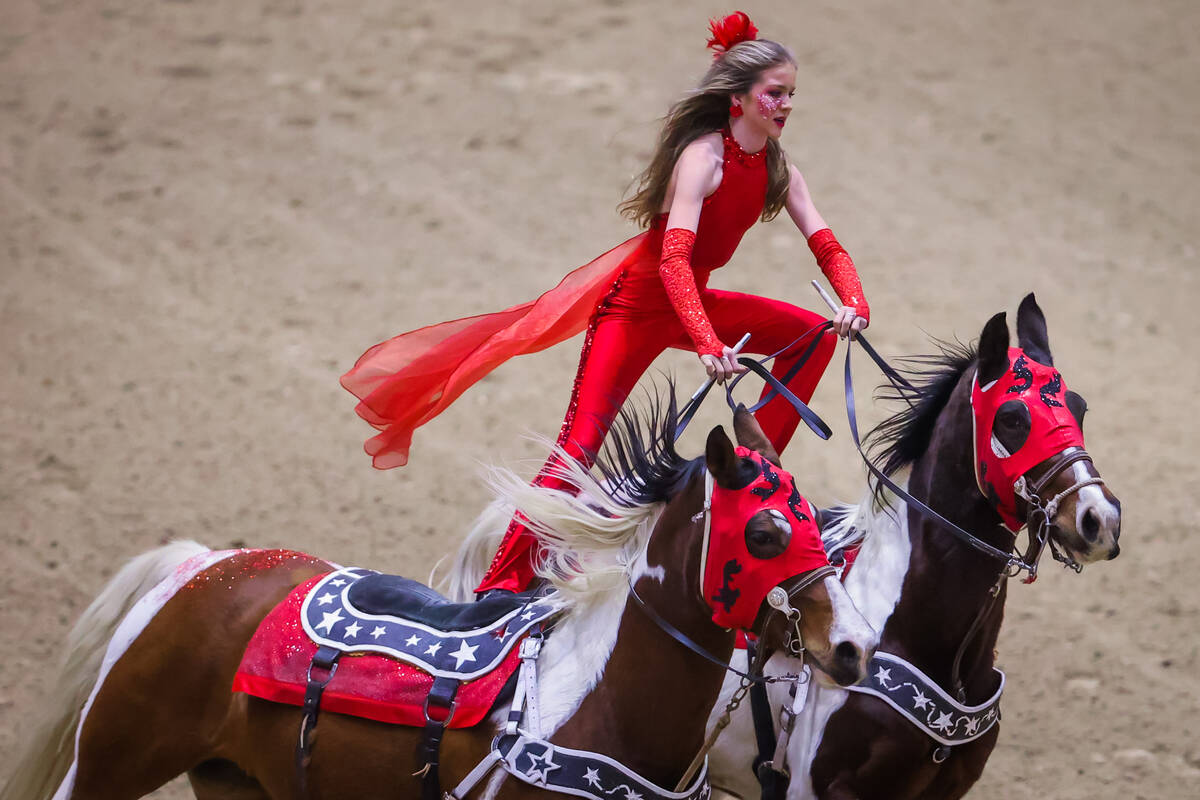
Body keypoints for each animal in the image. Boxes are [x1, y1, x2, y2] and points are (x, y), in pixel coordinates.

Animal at [4, 407, 878, 800]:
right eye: (765, 530)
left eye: (818, 519)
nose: (854, 648)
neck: (600, 707)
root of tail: (205, 566)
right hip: (109, 762)